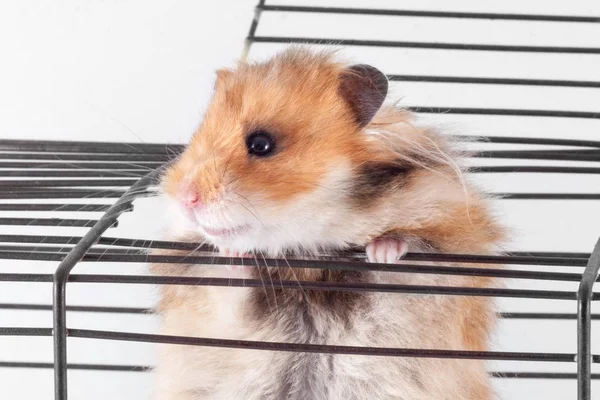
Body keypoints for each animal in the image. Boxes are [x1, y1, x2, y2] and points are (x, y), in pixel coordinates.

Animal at [151, 47, 506, 400]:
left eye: (261, 143)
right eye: (195, 135)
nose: (185, 199)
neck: (311, 254)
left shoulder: (442, 262)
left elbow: (406, 257)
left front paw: (383, 251)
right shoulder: (215, 313)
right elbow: (227, 288)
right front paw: (233, 254)